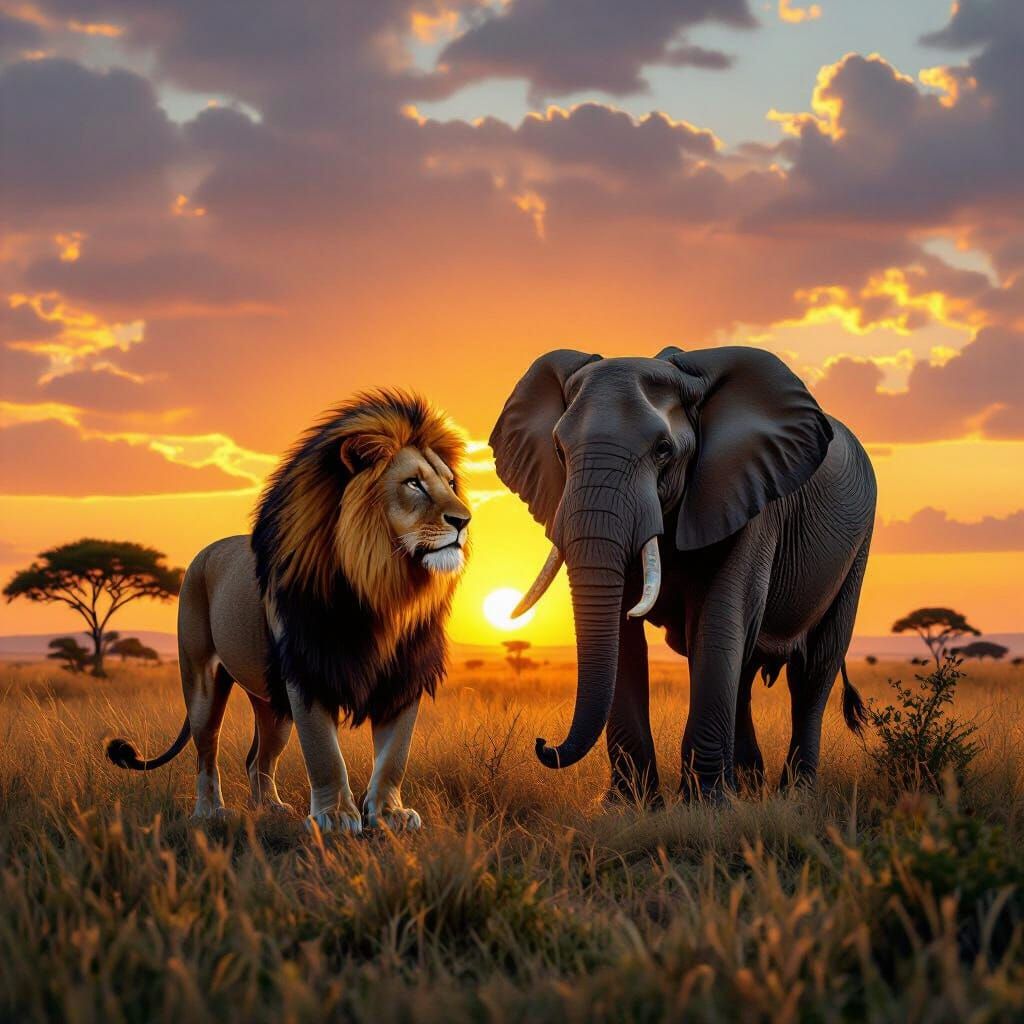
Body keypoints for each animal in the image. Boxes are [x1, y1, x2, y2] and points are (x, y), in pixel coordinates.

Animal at [106, 389, 471, 833]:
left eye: (449, 483)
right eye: (413, 483)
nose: (464, 519)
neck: (385, 589)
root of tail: (205, 552)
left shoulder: (403, 676)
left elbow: (394, 756)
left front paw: (388, 814)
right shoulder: (306, 672)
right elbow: (324, 754)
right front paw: (335, 817)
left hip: (272, 704)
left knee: (258, 758)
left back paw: (270, 808)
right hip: (203, 682)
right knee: (205, 754)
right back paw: (210, 812)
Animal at [489, 346, 876, 803]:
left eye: (662, 450)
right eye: (559, 450)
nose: (542, 743)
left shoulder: (746, 497)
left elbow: (717, 622)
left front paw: (706, 806)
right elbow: (625, 636)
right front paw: (629, 806)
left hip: (857, 549)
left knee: (812, 672)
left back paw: (792, 796)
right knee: (744, 673)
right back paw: (748, 785)